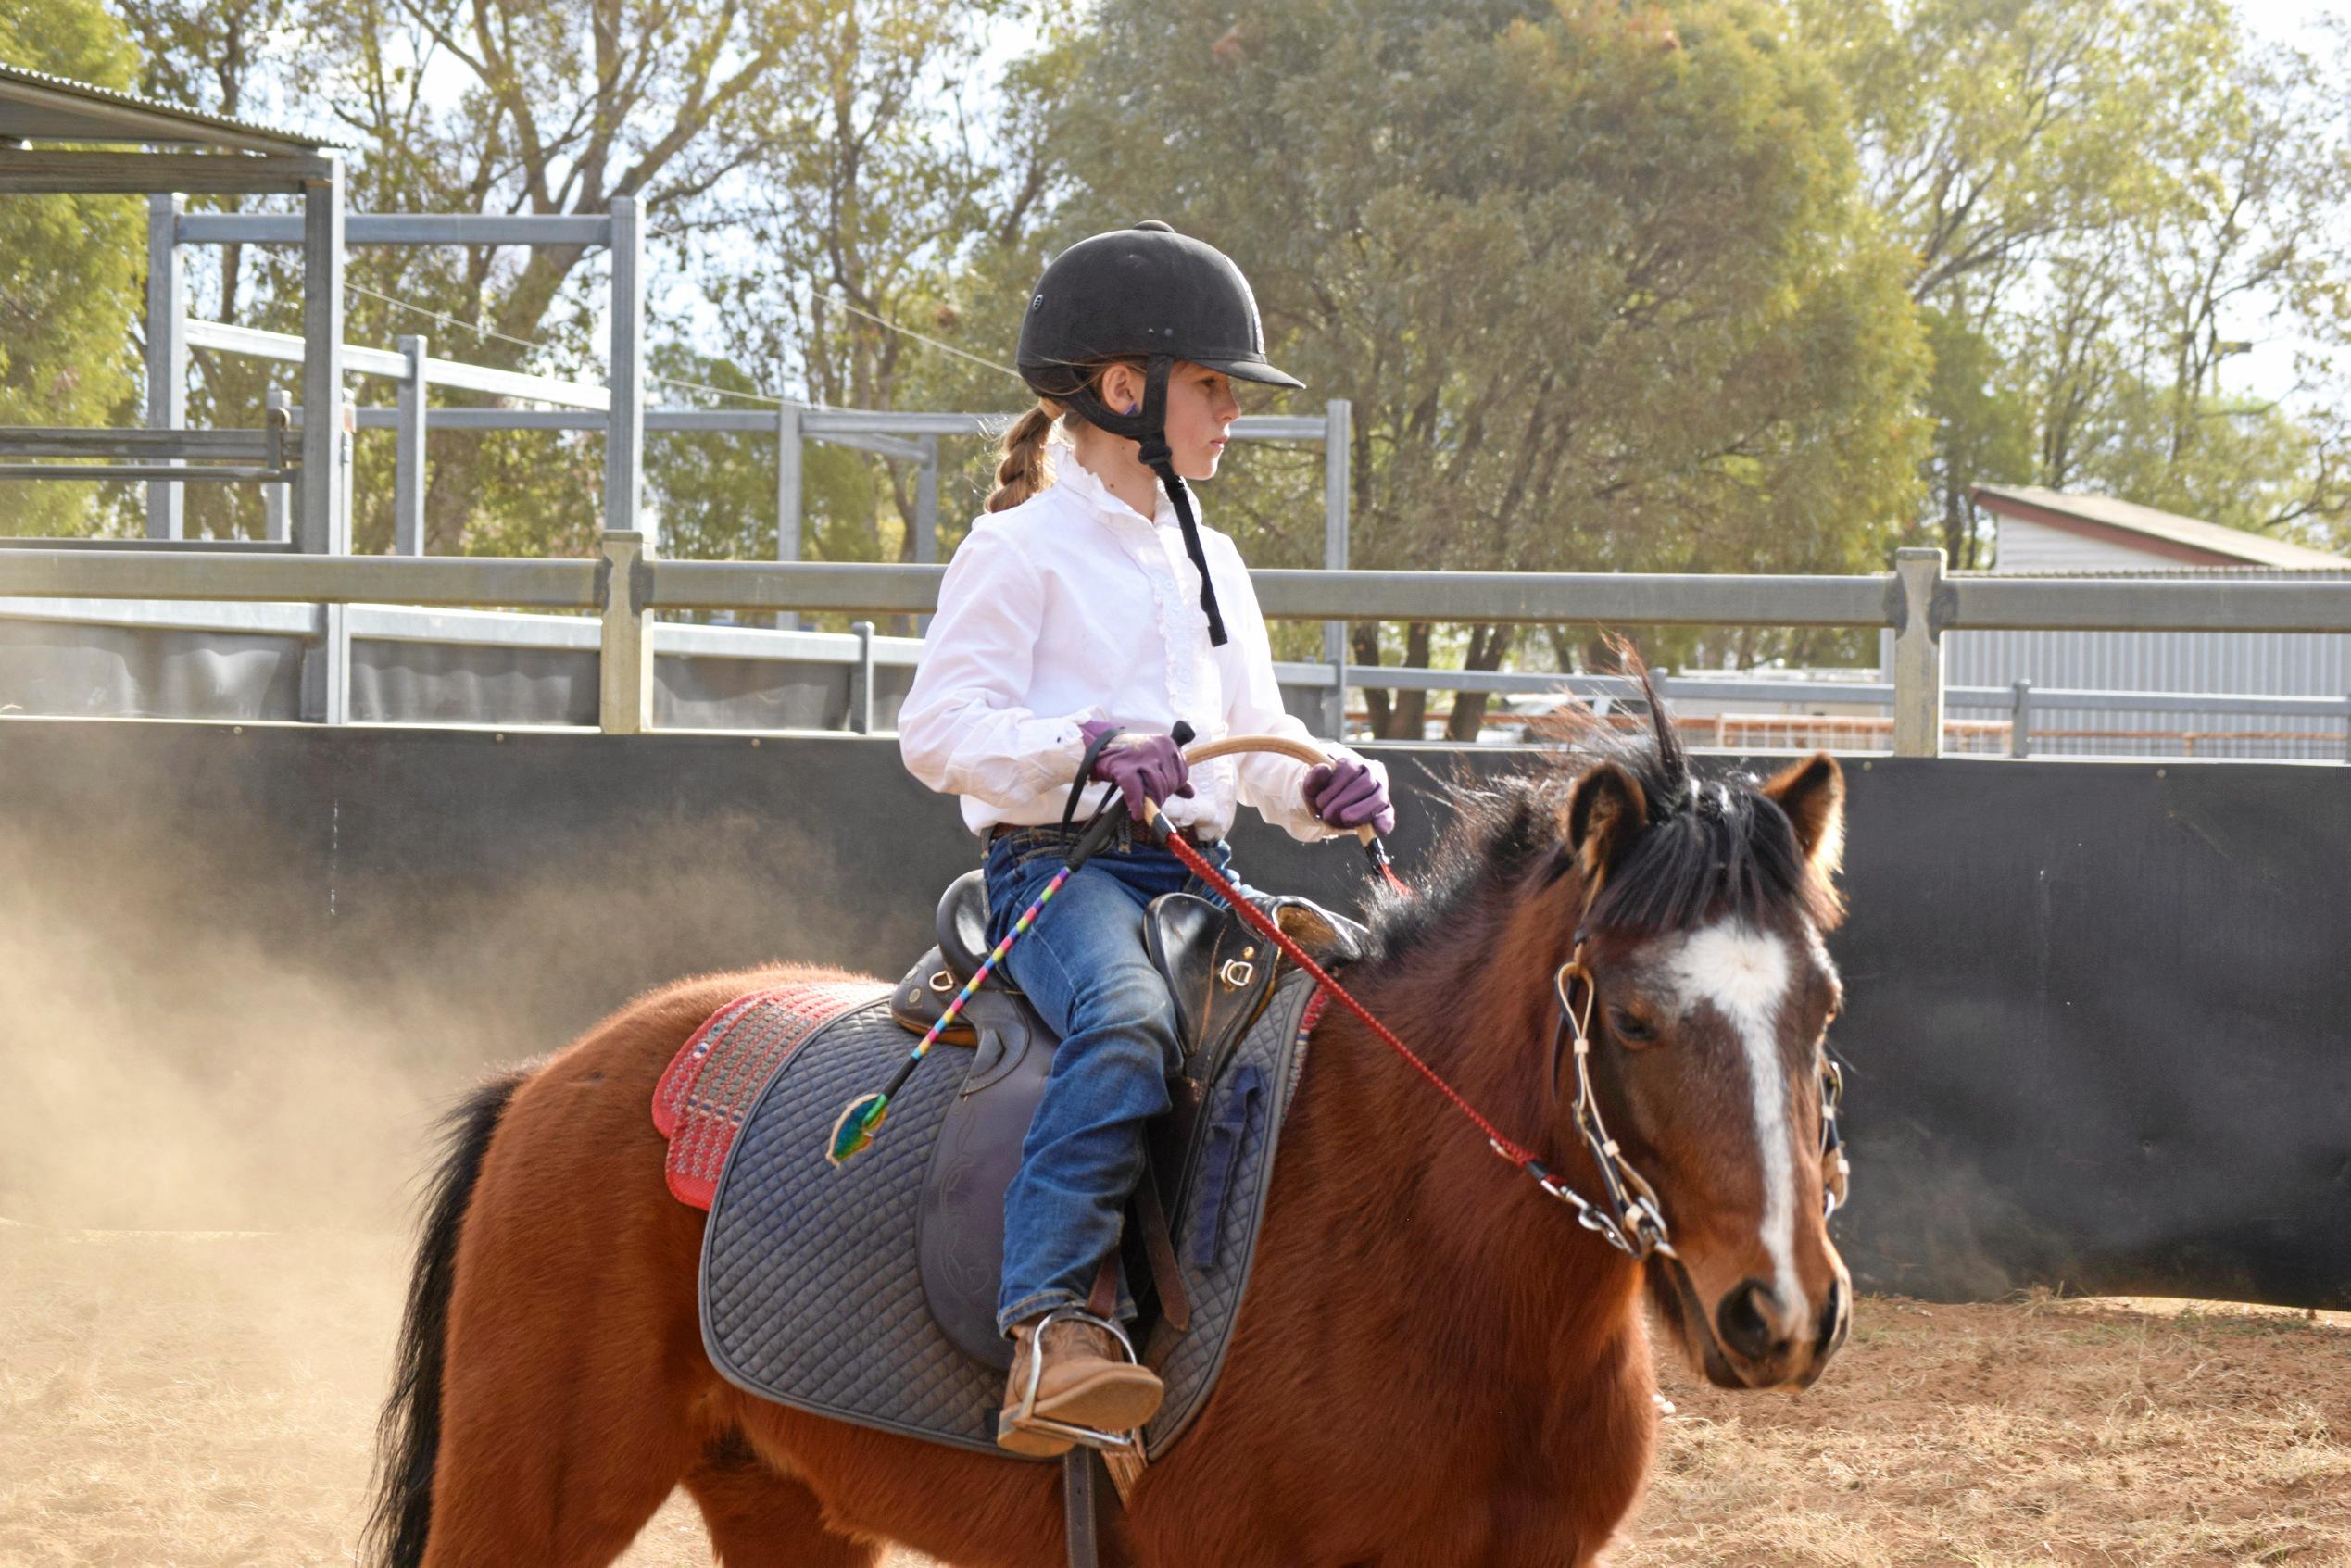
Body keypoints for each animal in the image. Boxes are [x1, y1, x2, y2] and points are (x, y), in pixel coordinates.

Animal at [366, 700, 1852, 1568]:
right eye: (1637, 1019)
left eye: (1820, 1003)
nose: (1779, 1310)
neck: (1429, 1254)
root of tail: (555, 1077)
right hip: (526, 1498)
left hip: (778, 1499)